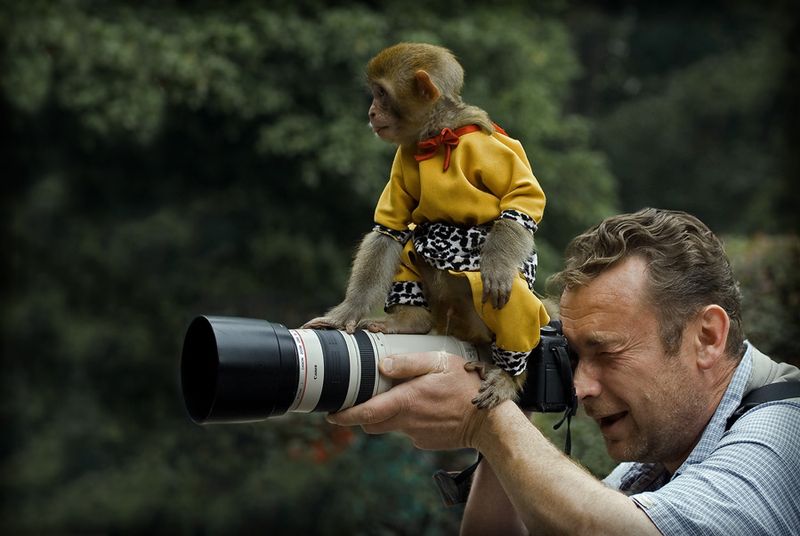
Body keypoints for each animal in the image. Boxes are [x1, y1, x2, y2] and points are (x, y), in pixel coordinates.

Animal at [304, 44, 552, 408]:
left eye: (381, 93)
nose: (371, 112)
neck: (437, 137)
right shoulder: (403, 157)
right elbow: (388, 232)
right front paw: (345, 313)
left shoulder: (488, 146)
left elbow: (519, 203)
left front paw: (496, 265)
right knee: (409, 242)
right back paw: (411, 320)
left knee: (512, 298)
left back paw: (509, 373)